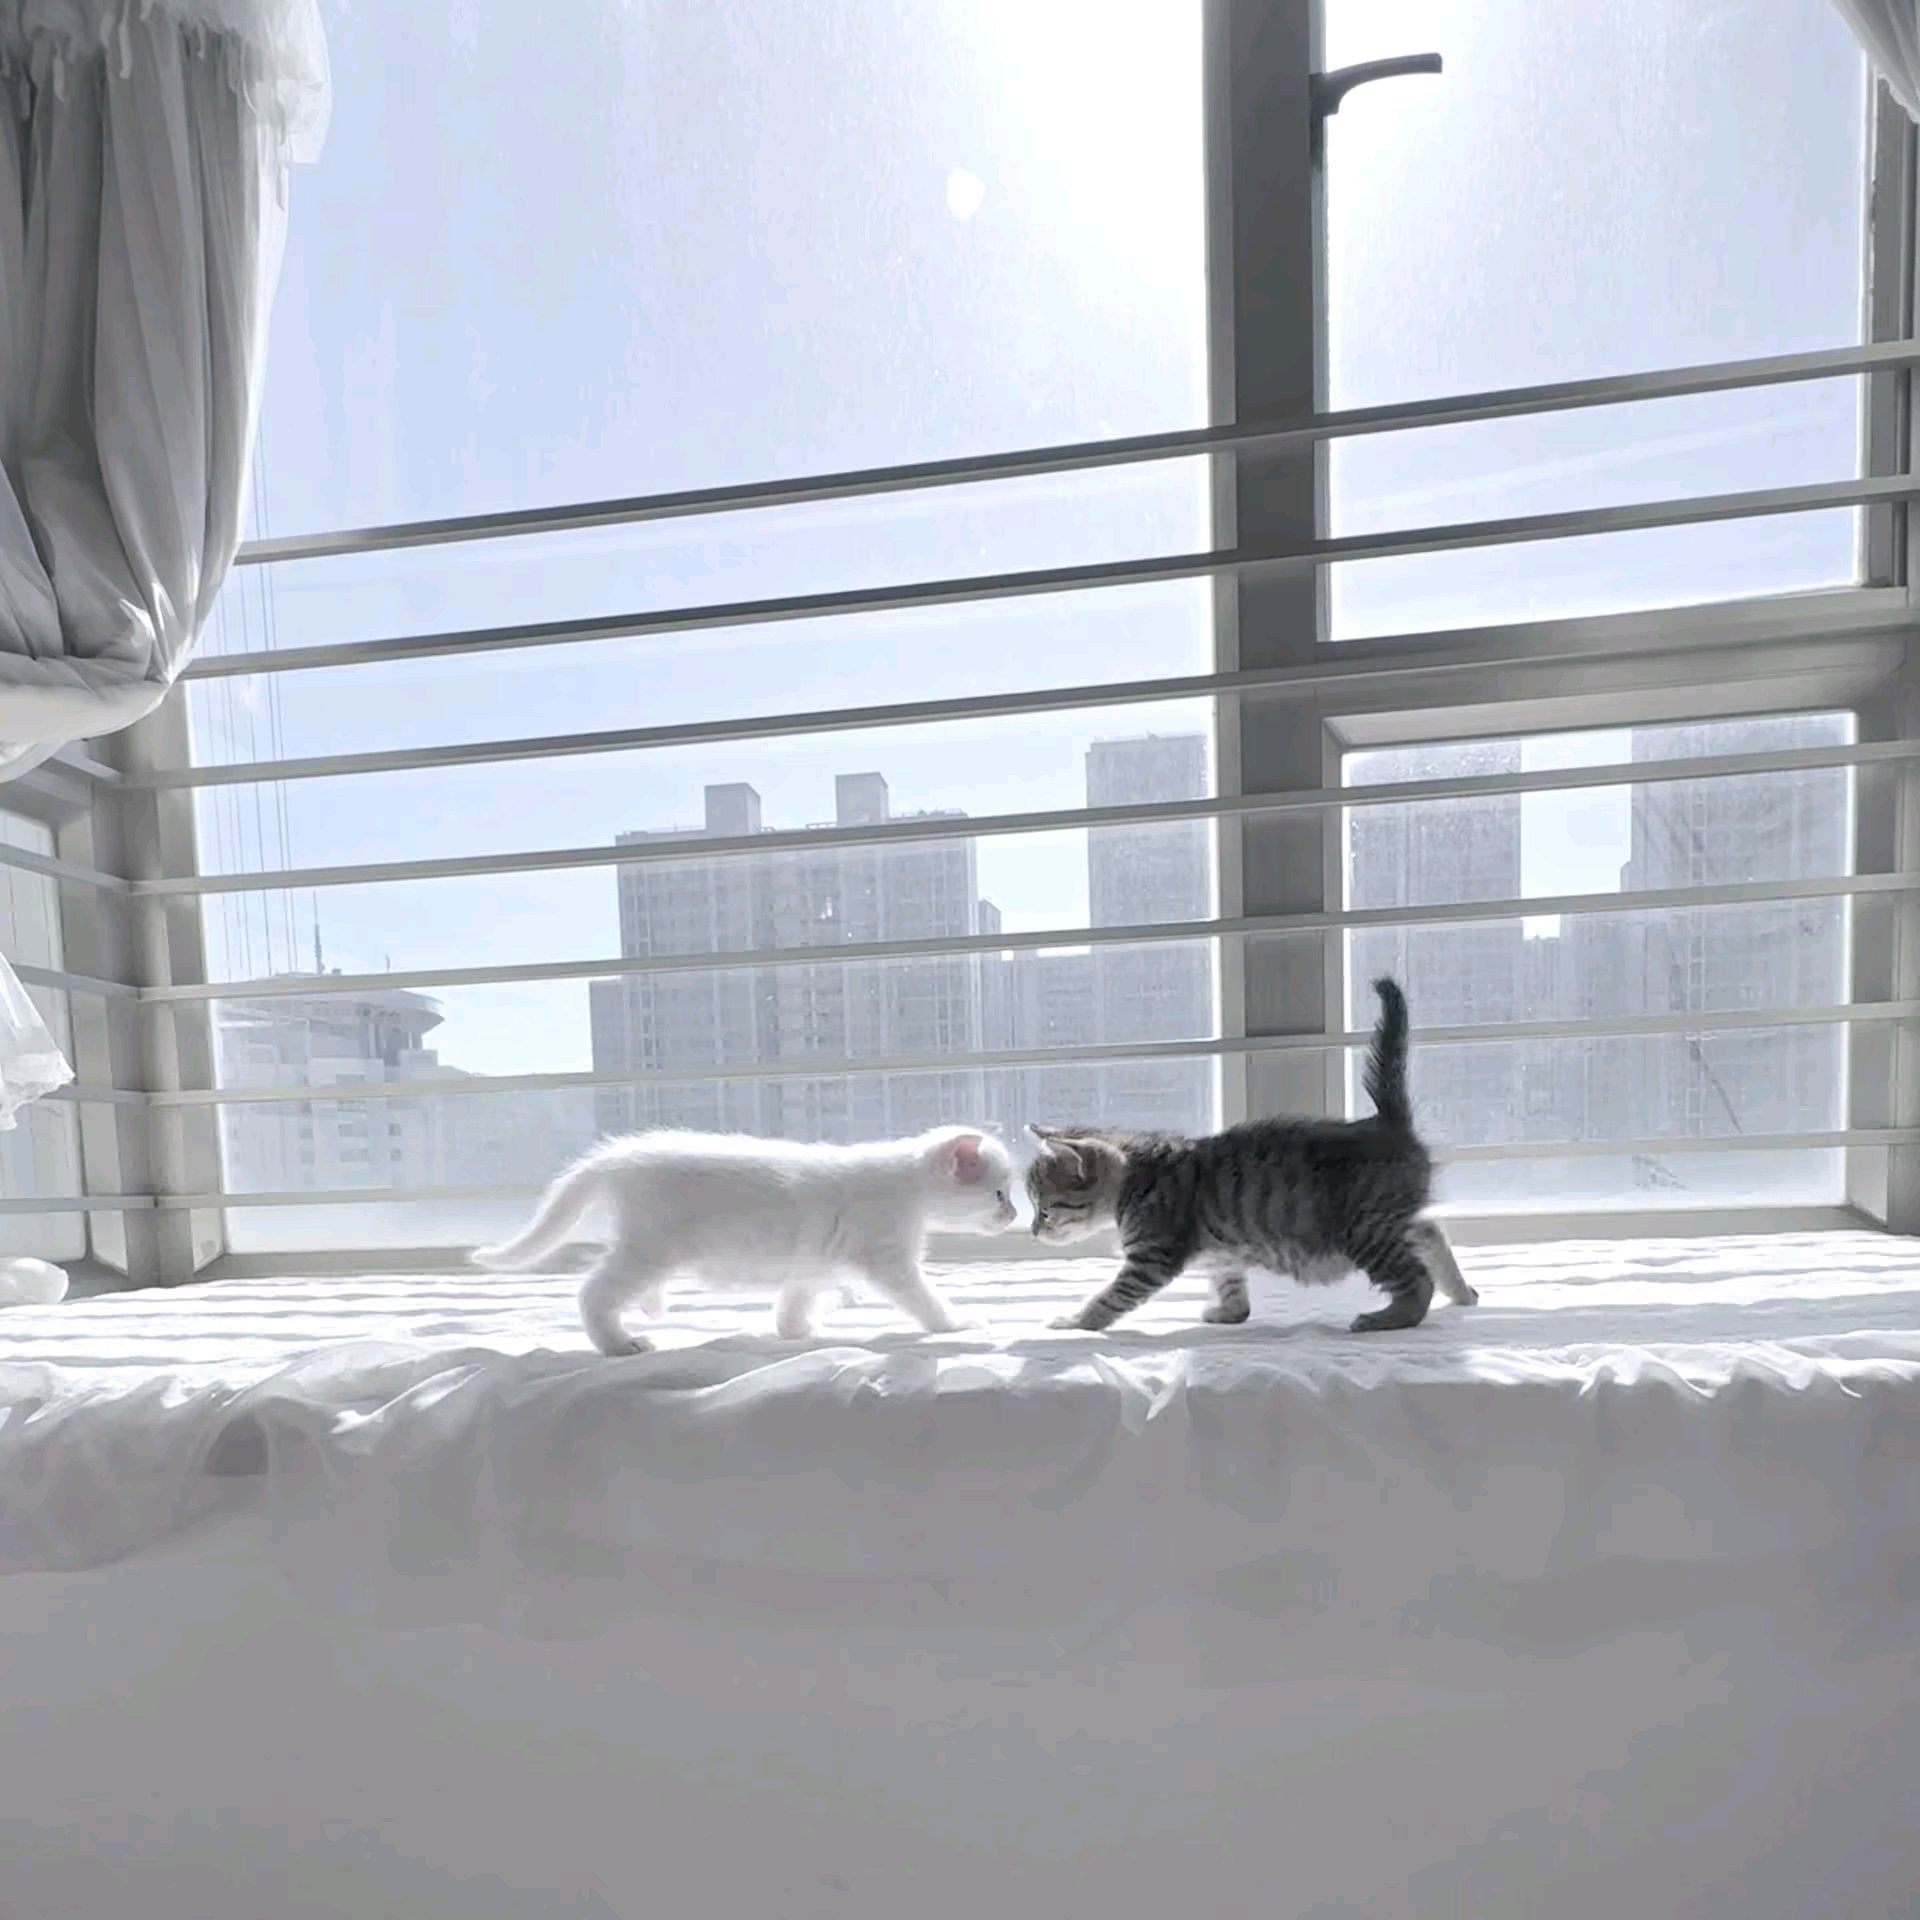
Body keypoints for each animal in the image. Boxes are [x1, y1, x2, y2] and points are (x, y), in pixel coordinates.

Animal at [472, 1125, 1018, 1356]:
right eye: (998, 1193)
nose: (1014, 1214)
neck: (904, 1182)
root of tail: (621, 1157)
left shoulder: (811, 1257)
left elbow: (795, 1299)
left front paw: (796, 1331)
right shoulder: (887, 1255)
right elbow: (922, 1296)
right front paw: (953, 1322)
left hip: (645, 1243)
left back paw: (650, 1306)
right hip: (653, 1245)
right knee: (594, 1290)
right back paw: (619, 1342)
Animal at [1026, 977, 1476, 1334]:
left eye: (1045, 1210)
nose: (1032, 1231)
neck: (1137, 1174)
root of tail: (1386, 1120)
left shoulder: (1151, 1257)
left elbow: (1111, 1297)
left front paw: (1076, 1321)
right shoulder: (1220, 1253)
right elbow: (1231, 1285)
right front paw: (1229, 1313)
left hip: (1365, 1229)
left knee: (1416, 1279)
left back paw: (1388, 1317)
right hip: (1387, 1220)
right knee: (1430, 1230)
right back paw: (1462, 1292)